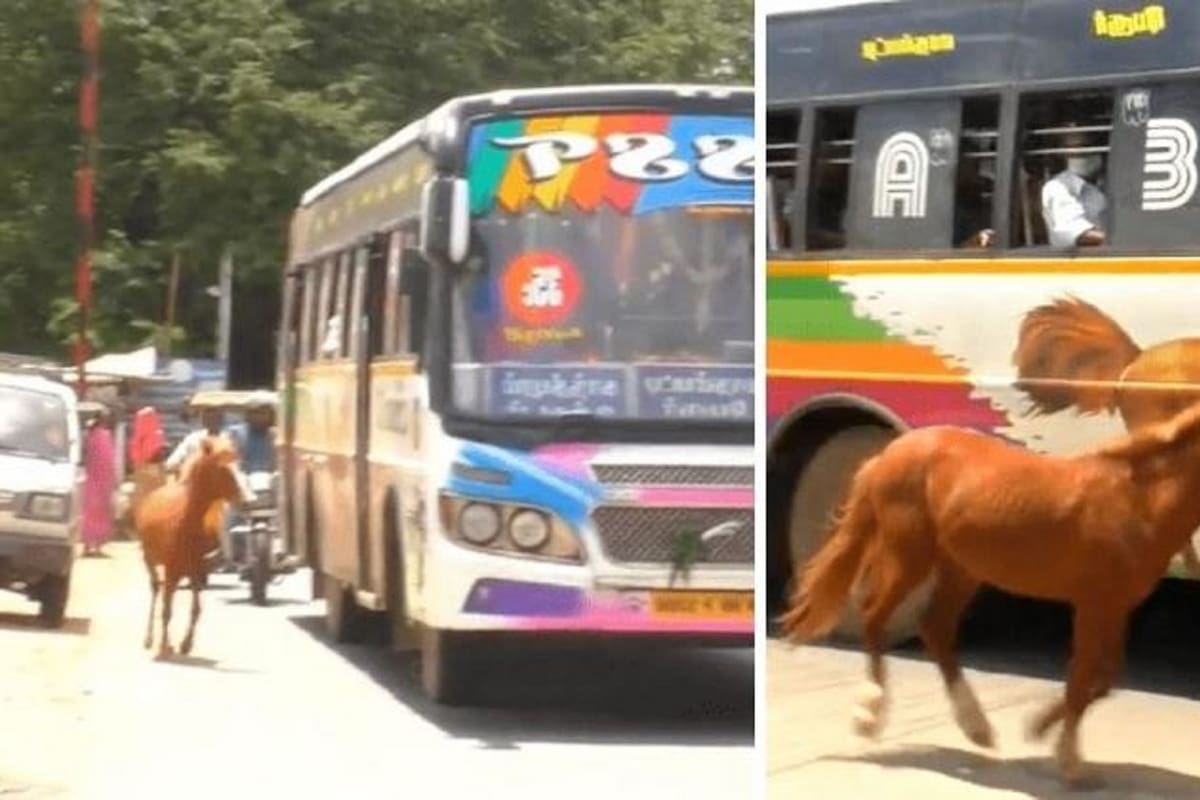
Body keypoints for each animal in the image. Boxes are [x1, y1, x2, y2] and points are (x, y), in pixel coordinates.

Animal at [134, 436, 247, 660]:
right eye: (222, 467)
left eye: (239, 463)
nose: (248, 500)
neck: (187, 521)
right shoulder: (171, 569)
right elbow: (166, 610)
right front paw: (164, 645)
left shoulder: (198, 570)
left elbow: (196, 610)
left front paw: (186, 644)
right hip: (150, 560)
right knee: (156, 590)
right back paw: (149, 638)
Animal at [779, 400, 1200, 787]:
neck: (1138, 498)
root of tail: (888, 455)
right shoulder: (1093, 603)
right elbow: (1083, 677)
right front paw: (1064, 757)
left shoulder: (1116, 606)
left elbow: (1104, 677)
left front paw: (1042, 730)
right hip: (910, 555)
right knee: (874, 616)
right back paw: (869, 715)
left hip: (961, 569)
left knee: (935, 627)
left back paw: (977, 729)